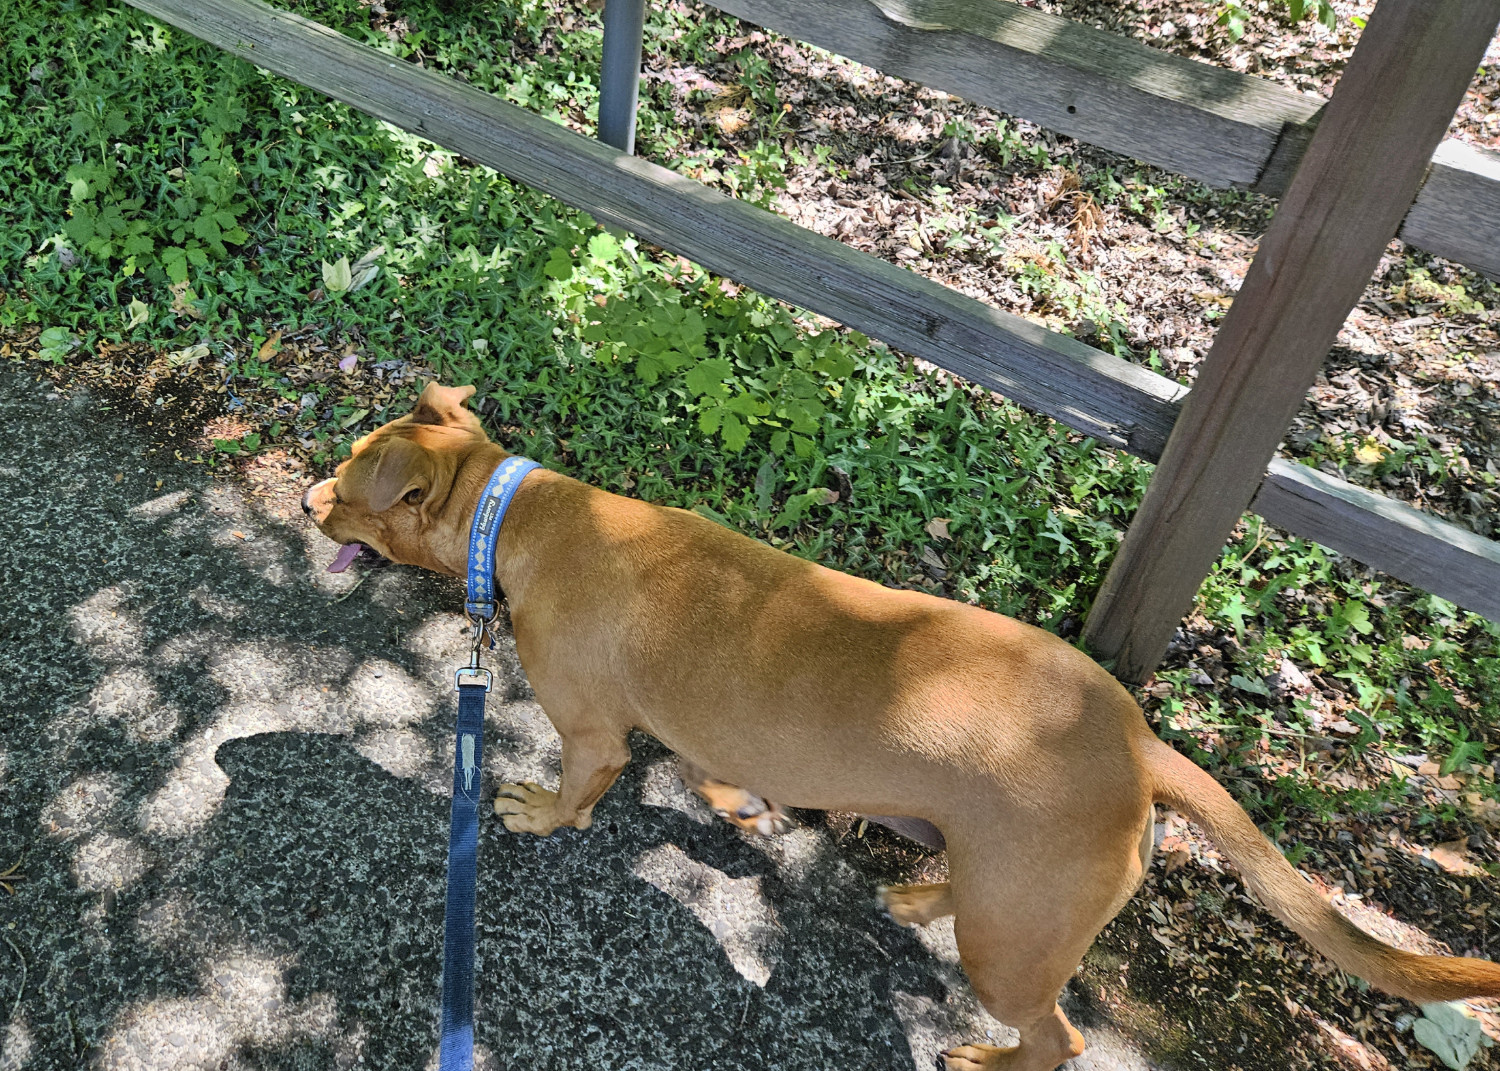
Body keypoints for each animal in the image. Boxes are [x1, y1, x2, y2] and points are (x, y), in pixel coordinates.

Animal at [304, 384, 1500, 1068]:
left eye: (351, 485)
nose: (307, 503)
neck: (519, 512)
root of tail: (1138, 742)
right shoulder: (696, 733)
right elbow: (714, 775)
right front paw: (738, 807)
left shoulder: (594, 735)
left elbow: (574, 793)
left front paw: (536, 811)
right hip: (1009, 893)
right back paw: (921, 893)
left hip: (1013, 955)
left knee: (1058, 1035)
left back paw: (986, 1058)